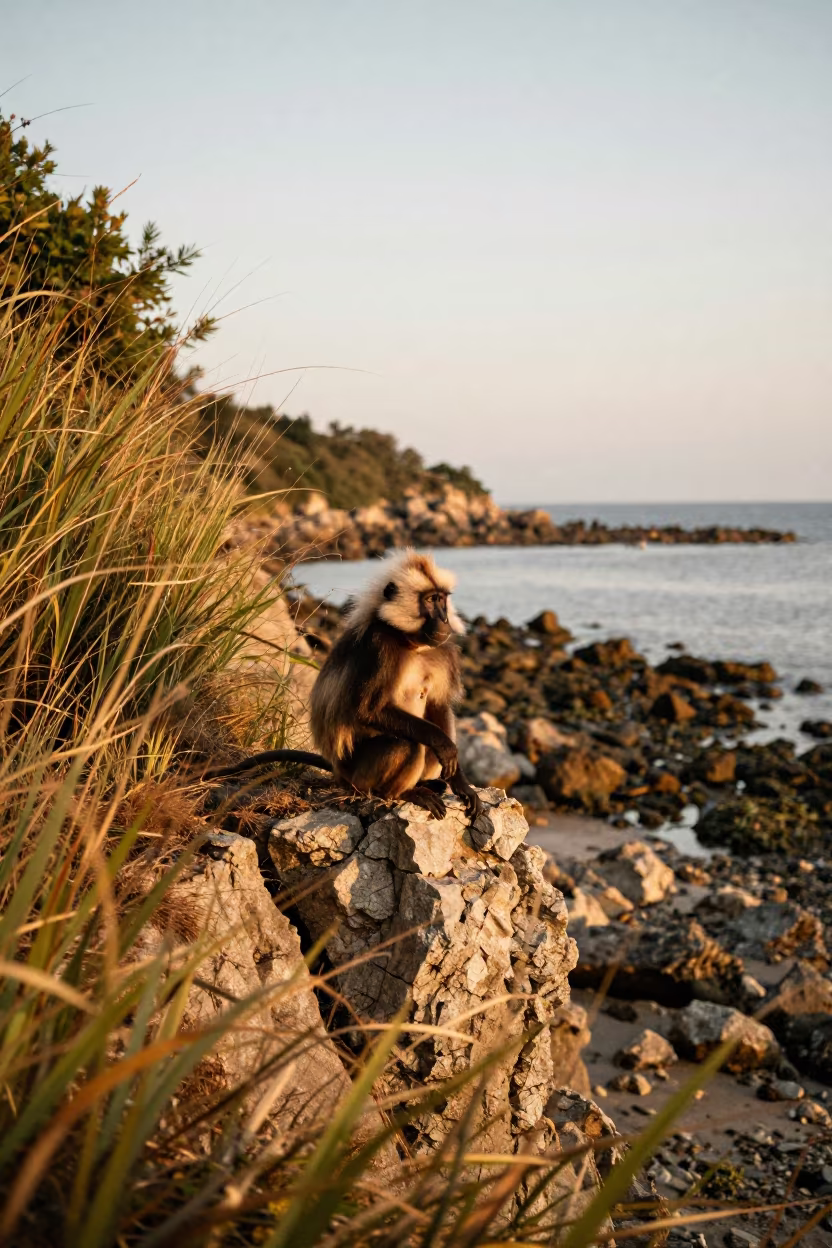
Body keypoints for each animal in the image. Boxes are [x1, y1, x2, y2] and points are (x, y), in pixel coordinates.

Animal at [200, 550, 483, 821]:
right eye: (430, 600)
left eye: (442, 600)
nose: (444, 620)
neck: (410, 642)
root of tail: (339, 771)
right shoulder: (379, 647)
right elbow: (370, 712)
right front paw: (443, 745)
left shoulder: (443, 649)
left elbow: (437, 706)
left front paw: (461, 784)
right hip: (359, 775)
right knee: (407, 744)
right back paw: (402, 793)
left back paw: (429, 784)